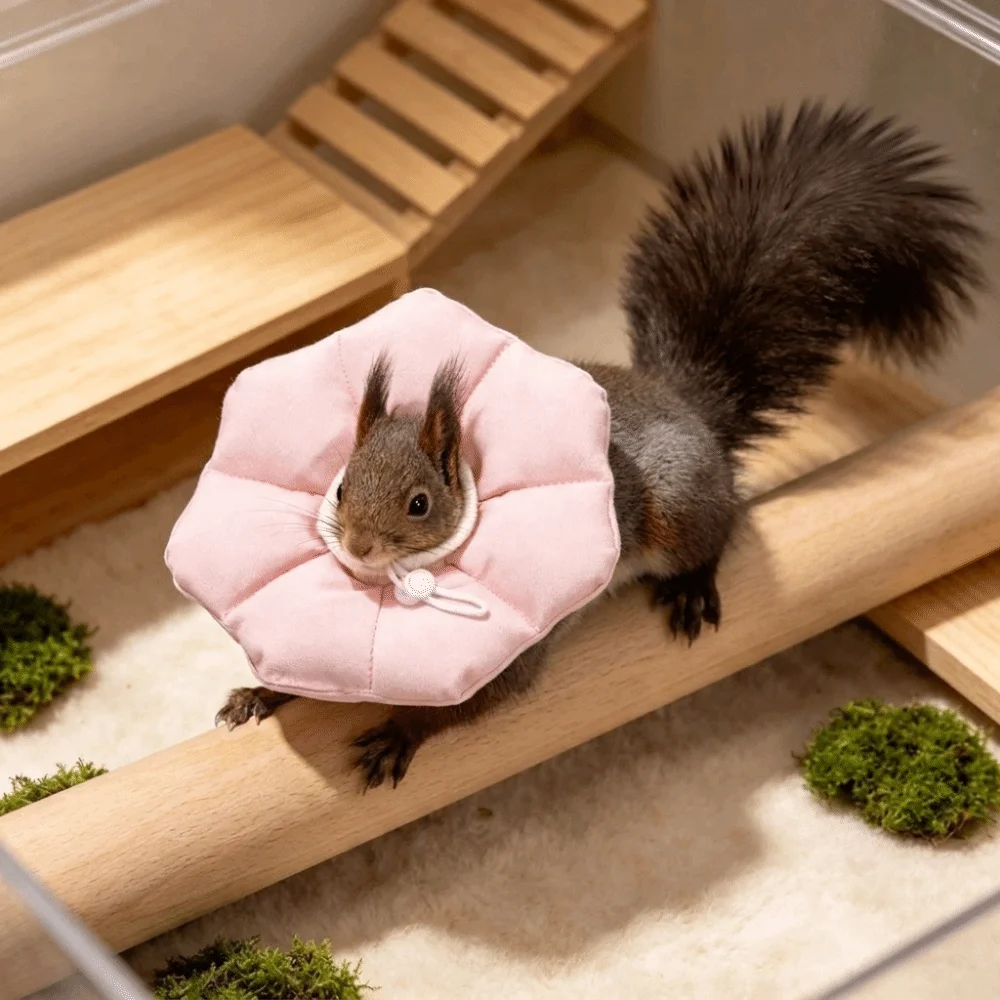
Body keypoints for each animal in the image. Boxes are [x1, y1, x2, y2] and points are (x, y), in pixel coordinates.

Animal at [216, 102, 984, 790]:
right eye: (342, 485)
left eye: (419, 503)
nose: (358, 546)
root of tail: (686, 404)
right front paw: (260, 692)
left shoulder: (511, 657)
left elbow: (469, 704)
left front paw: (400, 732)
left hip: (679, 507)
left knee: (721, 529)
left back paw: (692, 586)